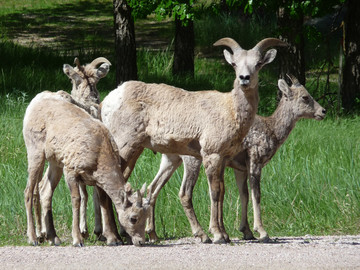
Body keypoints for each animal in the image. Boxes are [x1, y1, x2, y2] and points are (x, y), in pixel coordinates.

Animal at [23, 91, 151, 247]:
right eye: (133, 218)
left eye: (146, 216)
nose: (140, 241)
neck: (99, 152)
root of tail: (34, 102)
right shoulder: (70, 171)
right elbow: (77, 200)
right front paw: (78, 240)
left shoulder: (97, 180)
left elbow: (103, 201)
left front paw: (112, 239)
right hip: (35, 153)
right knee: (28, 191)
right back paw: (33, 239)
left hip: (55, 163)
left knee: (45, 191)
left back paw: (54, 238)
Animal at [100, 37, 286, 243]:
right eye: (234, 64)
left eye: (258, 64)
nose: (244, 78)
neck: (230, 109)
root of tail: (110, 100)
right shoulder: (212, 155)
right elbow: (215, 193)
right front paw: (217, 235)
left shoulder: (223, 159)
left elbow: (221, 192)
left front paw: (225, 234)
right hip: (125, 147)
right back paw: (112, 237)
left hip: (137, 151)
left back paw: (122, 235)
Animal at [144, 74, 326, 243]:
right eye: (305, 97)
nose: (323, 111)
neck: (272, 131)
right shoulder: (255, 158)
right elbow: (256, 194)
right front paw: (261, 232)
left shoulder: (239, 167)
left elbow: (241, 194)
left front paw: (244, 231)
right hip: (191, 159)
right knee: (184, 193)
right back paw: (201, 235)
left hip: (170, 159)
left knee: (153, 187)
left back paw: (153, 234)